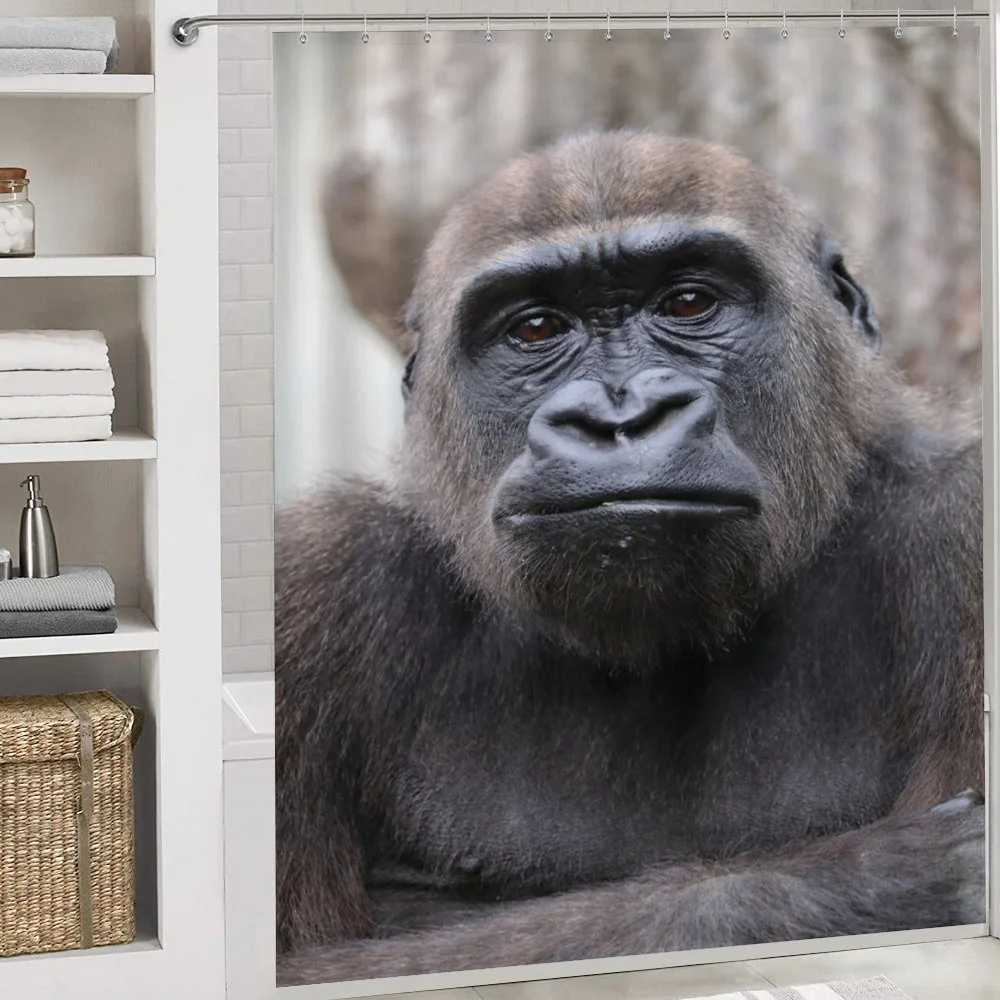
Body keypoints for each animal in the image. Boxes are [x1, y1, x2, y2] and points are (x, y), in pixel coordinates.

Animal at [274, 129, 985, 987]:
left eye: (688, 303)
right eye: (536, 329)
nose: (622, 417)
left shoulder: (965, 523)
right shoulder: (312, 584)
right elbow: (302, 965)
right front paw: (878, 880)